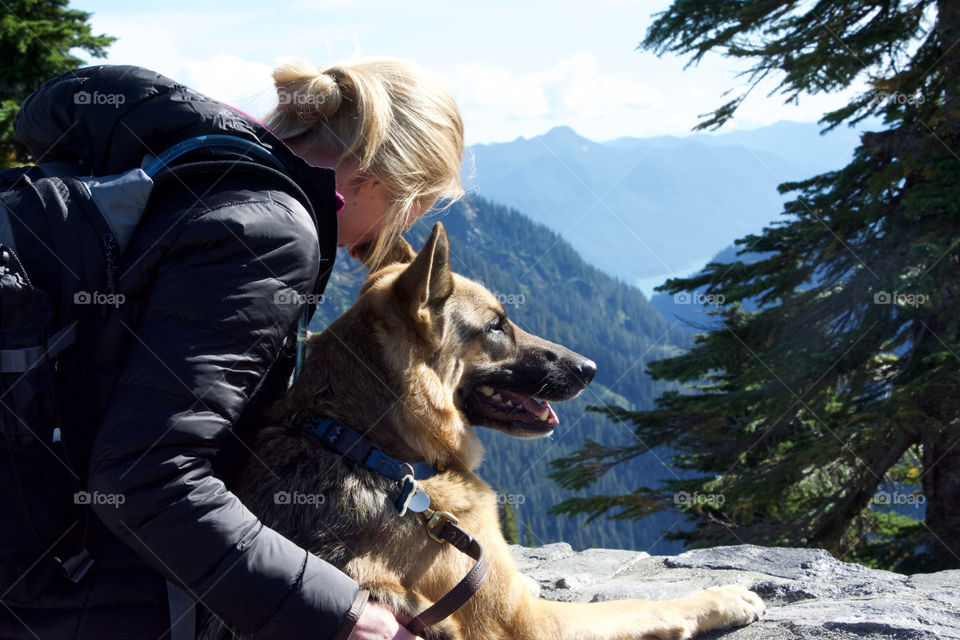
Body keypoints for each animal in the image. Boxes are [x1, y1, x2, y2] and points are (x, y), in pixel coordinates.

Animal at [202, 222, 764, 636]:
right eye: (496, 326)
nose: (590, 368)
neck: (377, 450)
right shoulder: (534, 625)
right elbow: (640, 605)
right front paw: (722, 598)